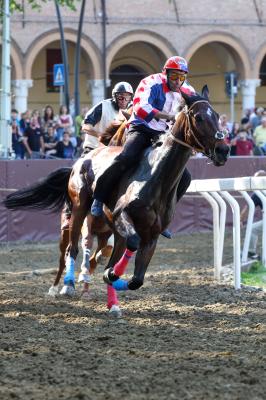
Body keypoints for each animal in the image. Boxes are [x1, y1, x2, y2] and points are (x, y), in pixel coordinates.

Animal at [3, 87, 230, 316]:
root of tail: (80, 161)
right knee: (71, 250)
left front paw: (115, 280)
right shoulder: (121, 215)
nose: (223, 150)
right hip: (78, 210)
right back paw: (67, 284)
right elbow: (126, 248)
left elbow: (136, 279)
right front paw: (110, 275)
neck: (157, 177)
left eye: (217, 116)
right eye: (199, 117)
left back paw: (112, 303)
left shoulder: (151, 235)